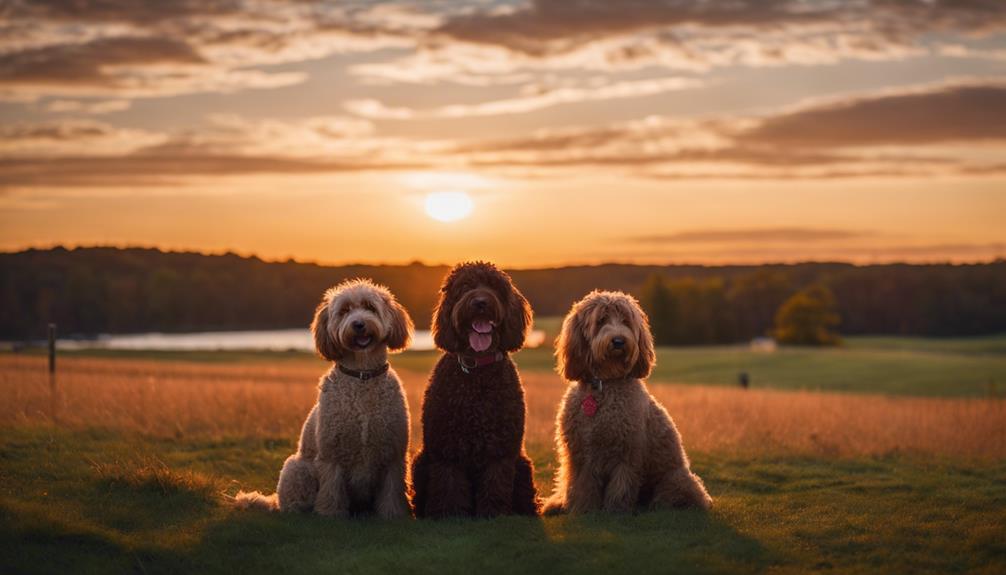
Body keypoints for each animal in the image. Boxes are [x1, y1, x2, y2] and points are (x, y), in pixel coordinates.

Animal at [232, 279, 412, 514]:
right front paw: (329, 514)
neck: (362, 375)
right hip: (296, 468)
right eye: (344, 311)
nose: (358, 324)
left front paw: (393, 514)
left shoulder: (393, 455)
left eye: (370, 307)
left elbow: (392, 491)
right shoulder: (331, 455)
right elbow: (331, 489)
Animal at [412, 263, 543, 518]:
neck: (478, 370)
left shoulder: (501, 450)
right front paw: (450, 515)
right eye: (465, 287)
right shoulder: (447, 449)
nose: (481, 302)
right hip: (420, 461)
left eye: (494, 286)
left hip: (523, 464)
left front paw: (493, 514)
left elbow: (495, 482)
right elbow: (449, 484)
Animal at [543, 289, 716, 514]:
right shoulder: (579, 455)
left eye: (626, 321)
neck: (604, 384)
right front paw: (583, 509)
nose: (618, 341)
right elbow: (581, 485)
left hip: (674, 480)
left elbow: (621, 487)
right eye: (601, 320)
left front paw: (614, 511)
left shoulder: (628, 453)